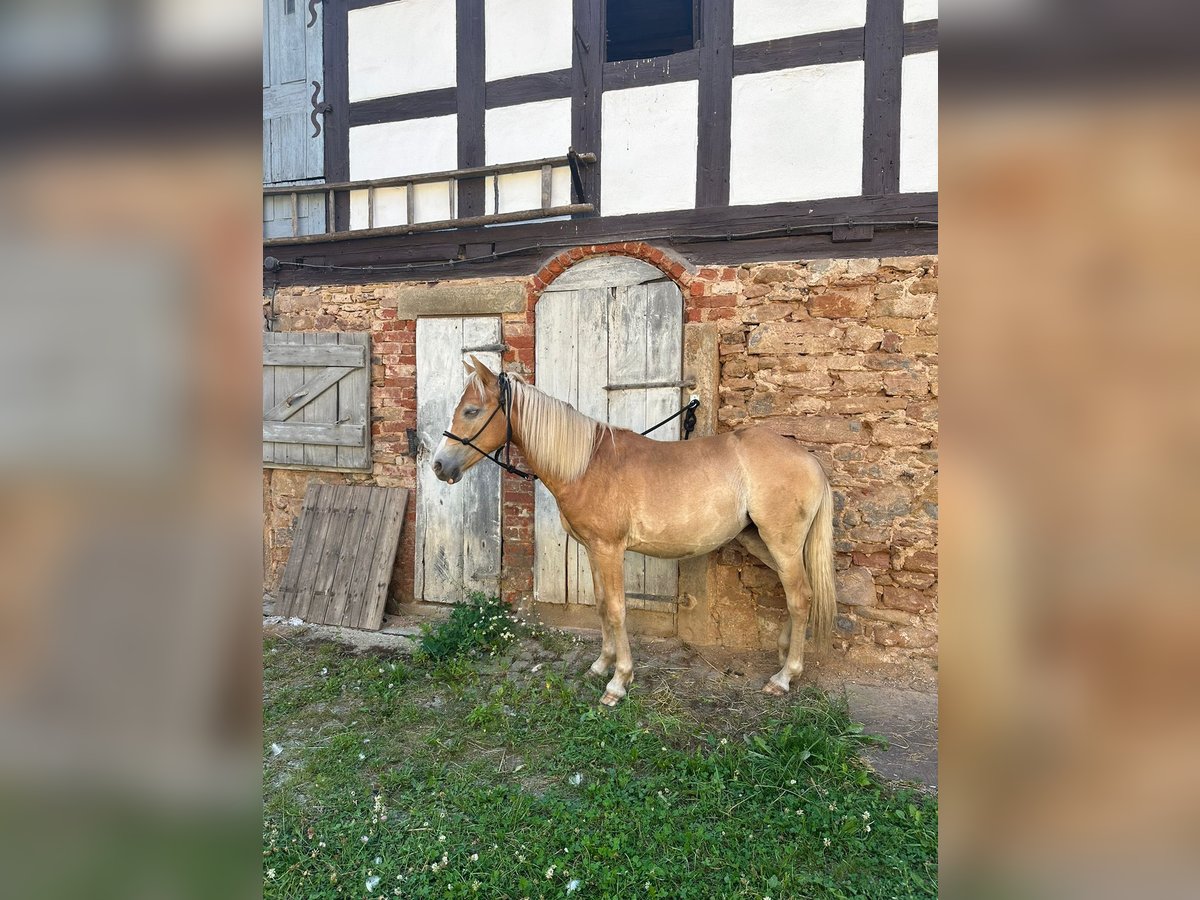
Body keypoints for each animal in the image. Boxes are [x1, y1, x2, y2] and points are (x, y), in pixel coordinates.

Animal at [432, 355, 835, 710]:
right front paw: (601, 665)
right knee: (800, 594)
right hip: (761, 543)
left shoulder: (609, 549)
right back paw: (783, 656)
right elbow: (600, 604)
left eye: (471, 411)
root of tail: (809, 459)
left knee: (799, 598)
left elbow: (616, 608)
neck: (586, 465)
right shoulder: (593, 549)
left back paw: (784, 677)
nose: (438, 465)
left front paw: (618, 682)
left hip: (781, 543)